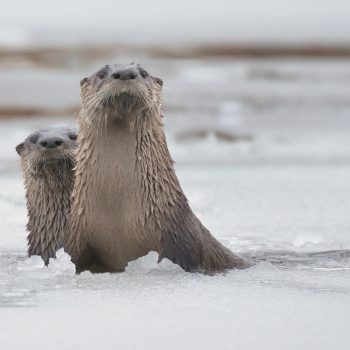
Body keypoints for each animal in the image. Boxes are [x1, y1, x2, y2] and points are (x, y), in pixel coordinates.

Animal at [64, 64, 250, 274]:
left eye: (143, 72)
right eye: (102, 73)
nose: (126, 73)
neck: (118, 217)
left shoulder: (181, 240)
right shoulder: (79, 240)